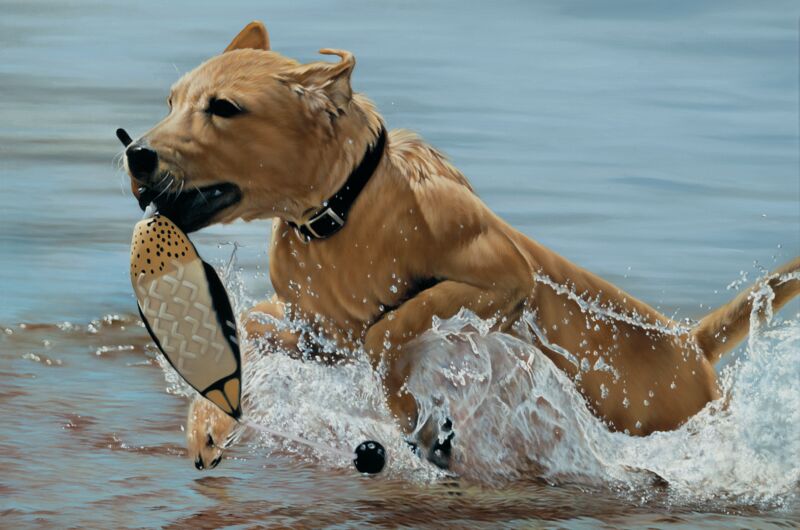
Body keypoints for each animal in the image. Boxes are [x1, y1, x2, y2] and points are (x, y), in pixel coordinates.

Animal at [120, 20, 800, 468]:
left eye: (225, 108)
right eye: (172, 101)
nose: (136, 153)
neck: (342, 212)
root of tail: (693, 342)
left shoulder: (502, 278)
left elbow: (389, 331)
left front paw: (414, 420)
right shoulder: (316, 332)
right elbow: (255, 330)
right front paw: (209, 420)